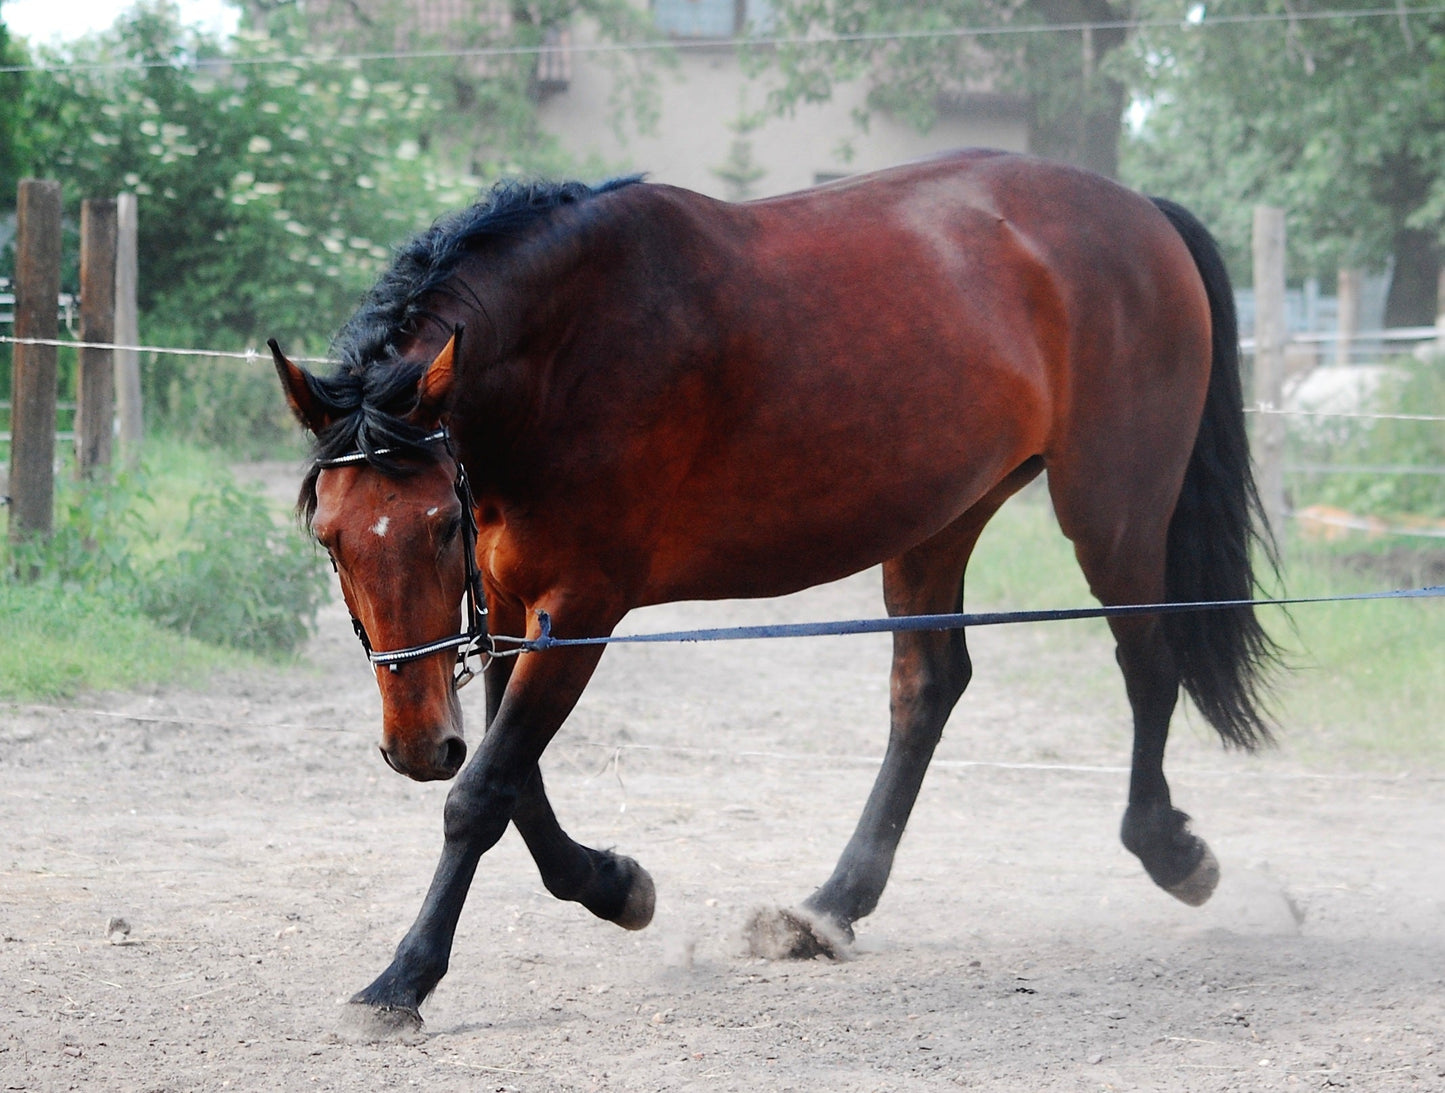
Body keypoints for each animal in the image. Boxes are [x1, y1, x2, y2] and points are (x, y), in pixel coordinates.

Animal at [271, 148, 1278, 1027]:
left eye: (441, 523)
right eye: (329, 536)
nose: (415, 745)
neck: (567, 348)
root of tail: (1139, 211)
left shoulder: (583, 605)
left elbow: (483, 792)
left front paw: (401, 981)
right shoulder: (513, 609)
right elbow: (515, 785)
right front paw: (614, 885)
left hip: (1112, 508)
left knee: (1147, 662)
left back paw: (1170, 851)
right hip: (939, 518)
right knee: (929, 687)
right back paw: (831, 905)